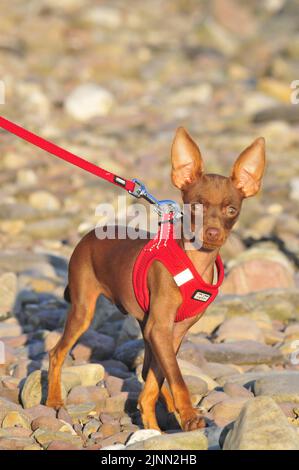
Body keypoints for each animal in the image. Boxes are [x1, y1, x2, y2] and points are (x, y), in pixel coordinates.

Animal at [47, 126, 268, 432]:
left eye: (231, 210)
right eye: (196, 206)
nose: (212, 233)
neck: (194, 260)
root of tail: (89, 235)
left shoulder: (170, 331)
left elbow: (157, 379)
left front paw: (156, 422)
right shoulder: (159, 328)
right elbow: (175, 377)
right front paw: (188, 416)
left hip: (143, 325)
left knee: (146, 370)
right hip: (83, 310)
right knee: (56, 352)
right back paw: (54, 400)